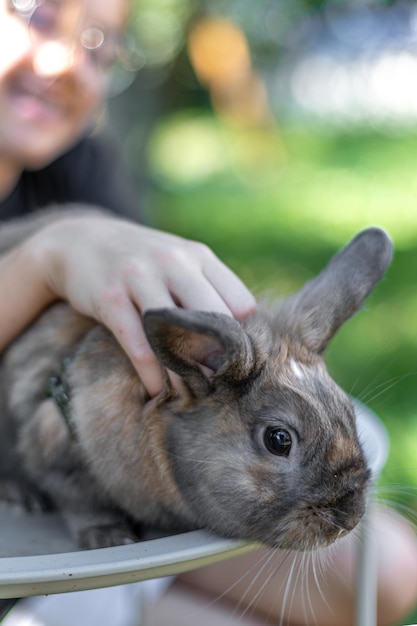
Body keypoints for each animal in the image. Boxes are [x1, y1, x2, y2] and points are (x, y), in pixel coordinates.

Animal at [0, 211, 394, 552]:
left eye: (348, 413)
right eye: (278, 440)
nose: (350, 518)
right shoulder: (53, 441)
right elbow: (78, 499)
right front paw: (109, 537)